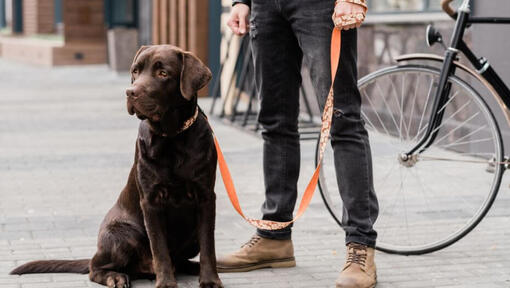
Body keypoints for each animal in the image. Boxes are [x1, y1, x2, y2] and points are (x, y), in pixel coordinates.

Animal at [10, 45, 223, 288]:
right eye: (135, 71)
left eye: (163, 73)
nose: (130, 92)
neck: (172, 138)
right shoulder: (150, 201)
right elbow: (160, 249)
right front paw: (166, 283)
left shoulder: (205, 196)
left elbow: (208, 246)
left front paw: (210, 280)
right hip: (122, 234)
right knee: (95, 268)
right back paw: (116, 277)